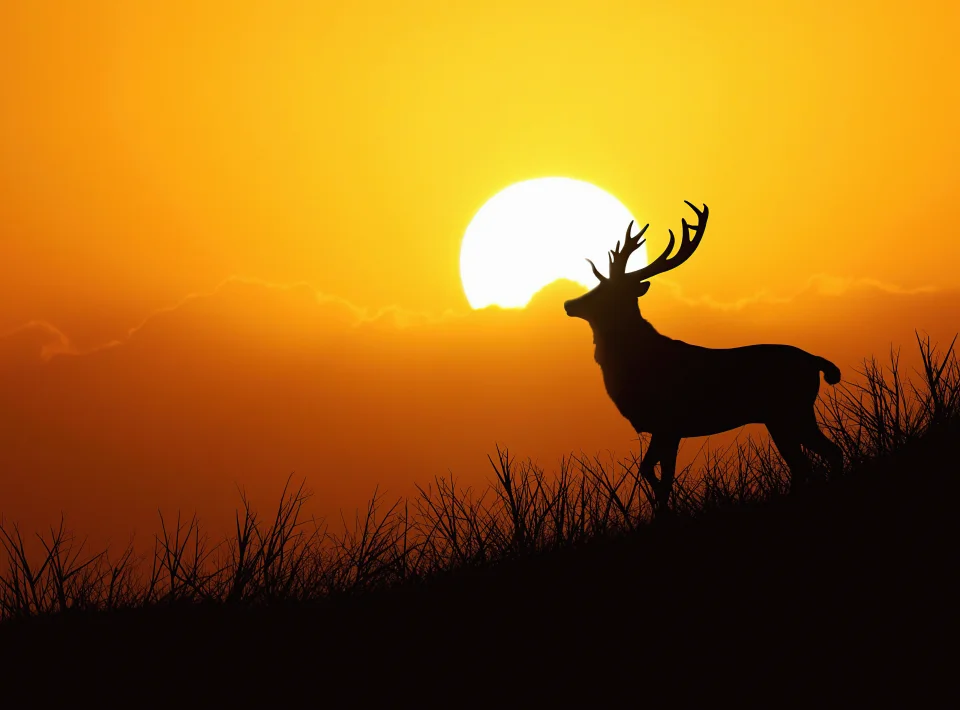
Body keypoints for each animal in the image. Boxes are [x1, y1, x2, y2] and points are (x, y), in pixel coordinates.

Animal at [564, 201, 843, 516]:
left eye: (606, 291)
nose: (569, 303)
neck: (635, 363)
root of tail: (816, 361)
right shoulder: (666, 429)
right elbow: (655, 472)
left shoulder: (669, 423)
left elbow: (657, 474)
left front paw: (663, 512)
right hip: (783, 416)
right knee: (809, 462)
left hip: (791, 410)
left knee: (822, 456)